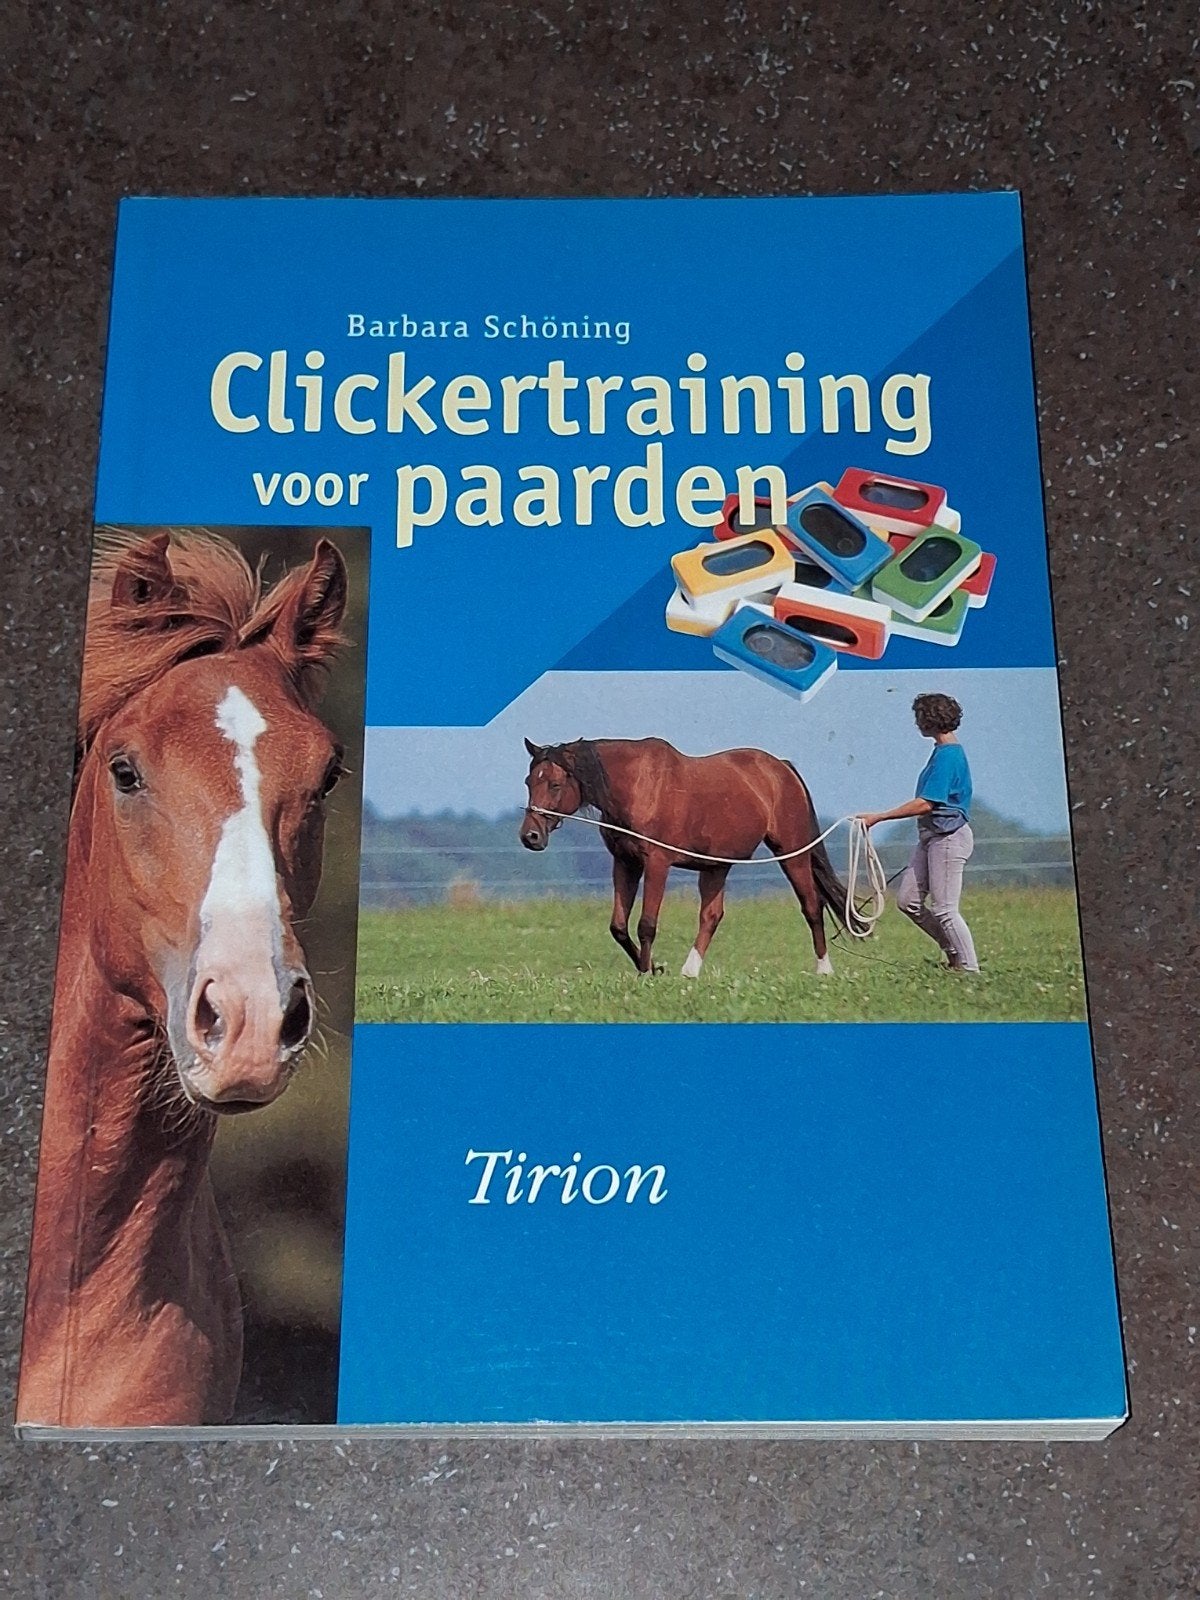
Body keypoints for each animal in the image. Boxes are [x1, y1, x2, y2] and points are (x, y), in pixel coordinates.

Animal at [519, 737, 866, 978]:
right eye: (529, 781)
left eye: (555, 783)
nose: (529, 836)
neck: (638, 786)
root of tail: (781, 768)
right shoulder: (625, 862)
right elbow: (618, 926)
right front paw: (653, 968)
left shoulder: (657, 863)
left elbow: (646, 924)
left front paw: (647, 973)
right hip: (716, 866)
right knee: (711, 916)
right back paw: (690, 971)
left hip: (792, 854)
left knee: (812, 907)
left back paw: (824, 970)